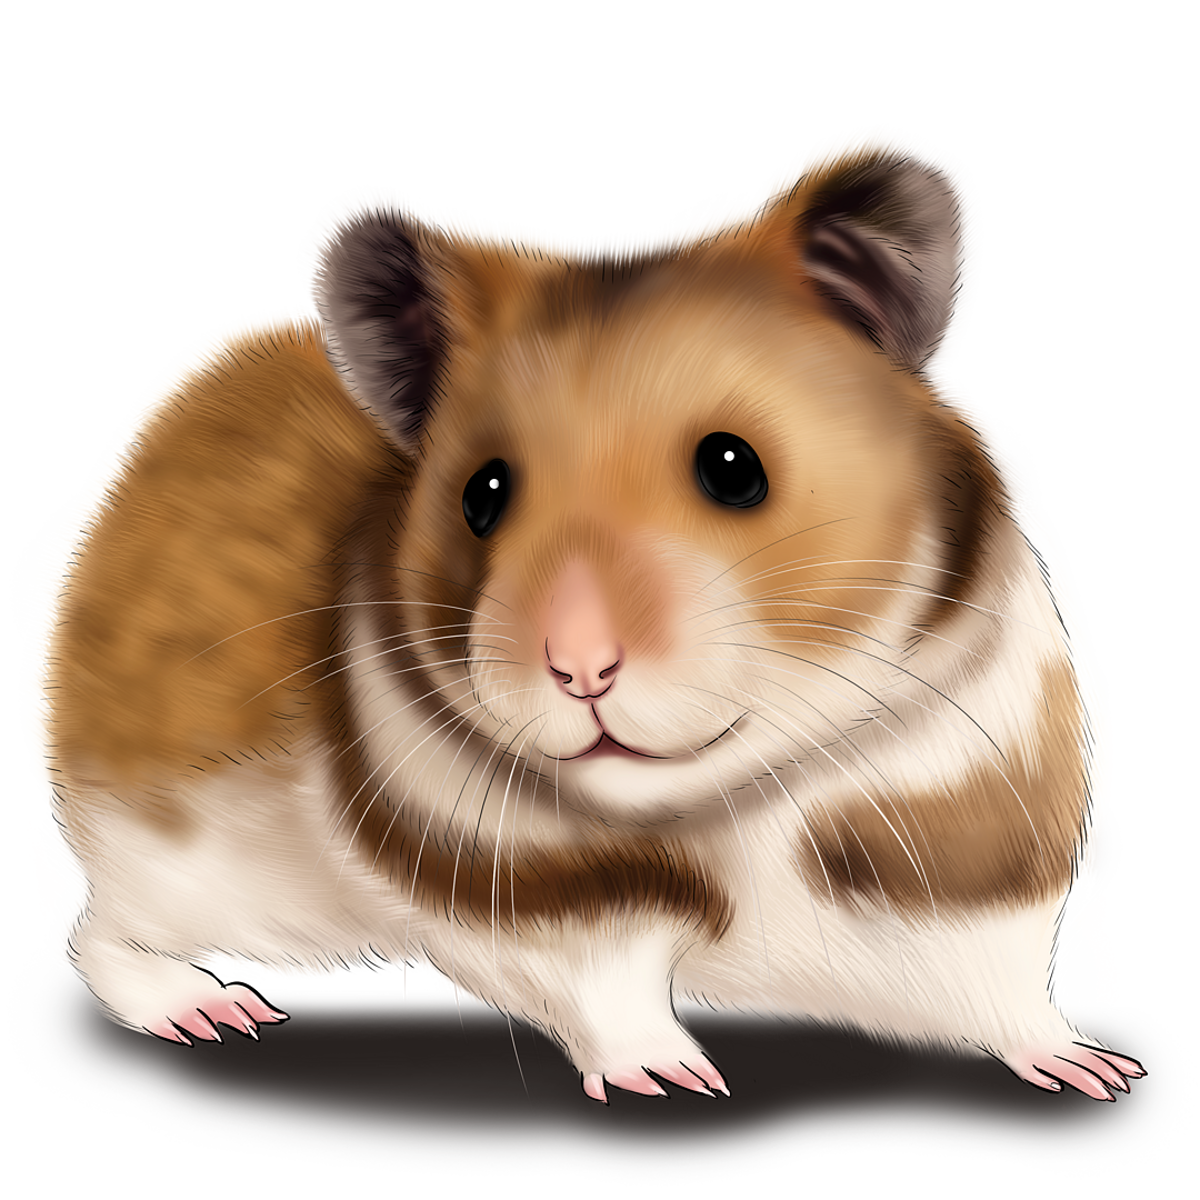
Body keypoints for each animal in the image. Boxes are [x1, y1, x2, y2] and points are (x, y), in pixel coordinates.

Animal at [16, 123, 1141, 1103]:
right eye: (482, 494)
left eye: (734, 467)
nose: (580, 667)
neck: (735, 798)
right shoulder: (533, 907)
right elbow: (607, 991)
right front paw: (677, 1082)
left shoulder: (975, 858)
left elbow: (1004, 991)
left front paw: (1095, 1071)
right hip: (177, 864)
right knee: (87, 933)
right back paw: (211, 1012)